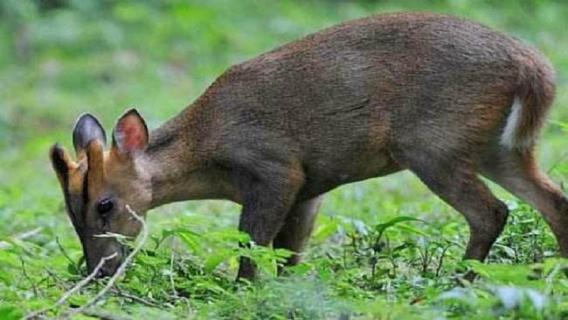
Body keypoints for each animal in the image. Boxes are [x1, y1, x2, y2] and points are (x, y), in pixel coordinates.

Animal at [50, 12, 564, 280]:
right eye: (71, 213)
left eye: (104, 205)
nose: (96, 271)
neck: (207, 149)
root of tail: (533, 68)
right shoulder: (308, 189)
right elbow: (290, 253)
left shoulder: (276, 169)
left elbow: (253, 245)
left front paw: (242, 289)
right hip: (500, 148)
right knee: (554, 199)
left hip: (433, 145)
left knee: (491, 211)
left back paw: (460, 279)